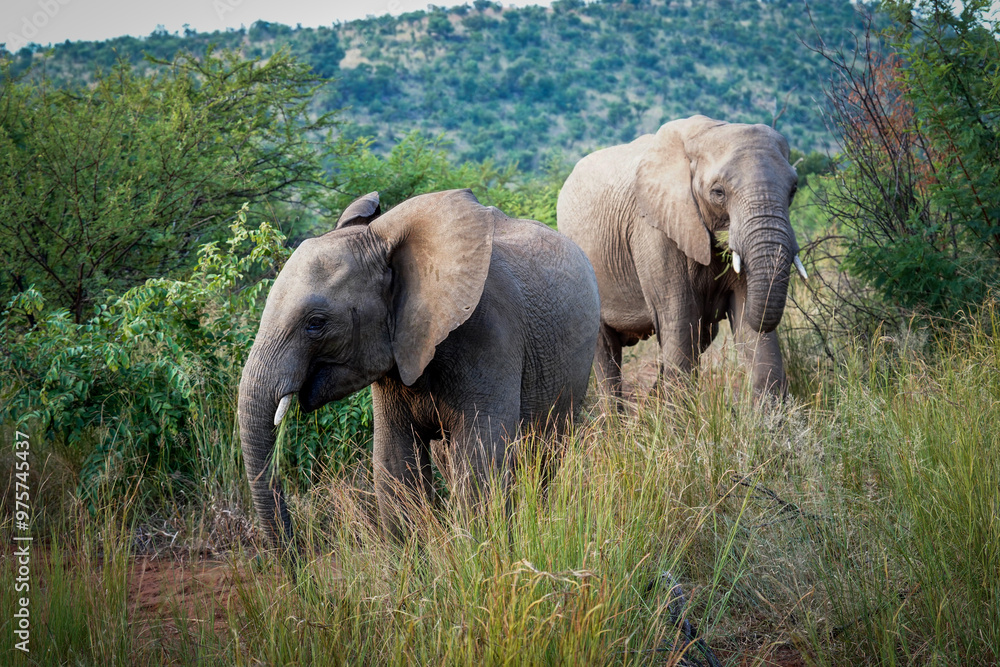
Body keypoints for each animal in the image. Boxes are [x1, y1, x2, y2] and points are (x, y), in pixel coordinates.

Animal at [237, 188, 601, 549]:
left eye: (316, 323)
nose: (296, 554)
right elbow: (394, 464)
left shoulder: (489, 335)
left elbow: (481, 462)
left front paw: (483, 556)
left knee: (545, 452)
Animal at [557, 115, 807, 400]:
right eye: (718, 192)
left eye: (793, 189)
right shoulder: (654, 231)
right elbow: (680, 319)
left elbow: (748, 317)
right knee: (606, 349)